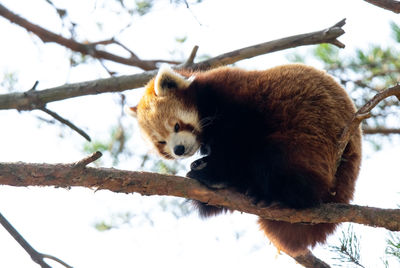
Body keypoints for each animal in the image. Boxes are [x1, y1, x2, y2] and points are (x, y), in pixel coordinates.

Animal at [128, 63, 362, 258]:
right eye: (161, 142)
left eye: (176, 126)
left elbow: (237, 143)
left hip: (308, 141)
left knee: (276, 161)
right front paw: (204, 166)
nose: (179, 150)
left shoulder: (236, 102)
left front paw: (213, 172)